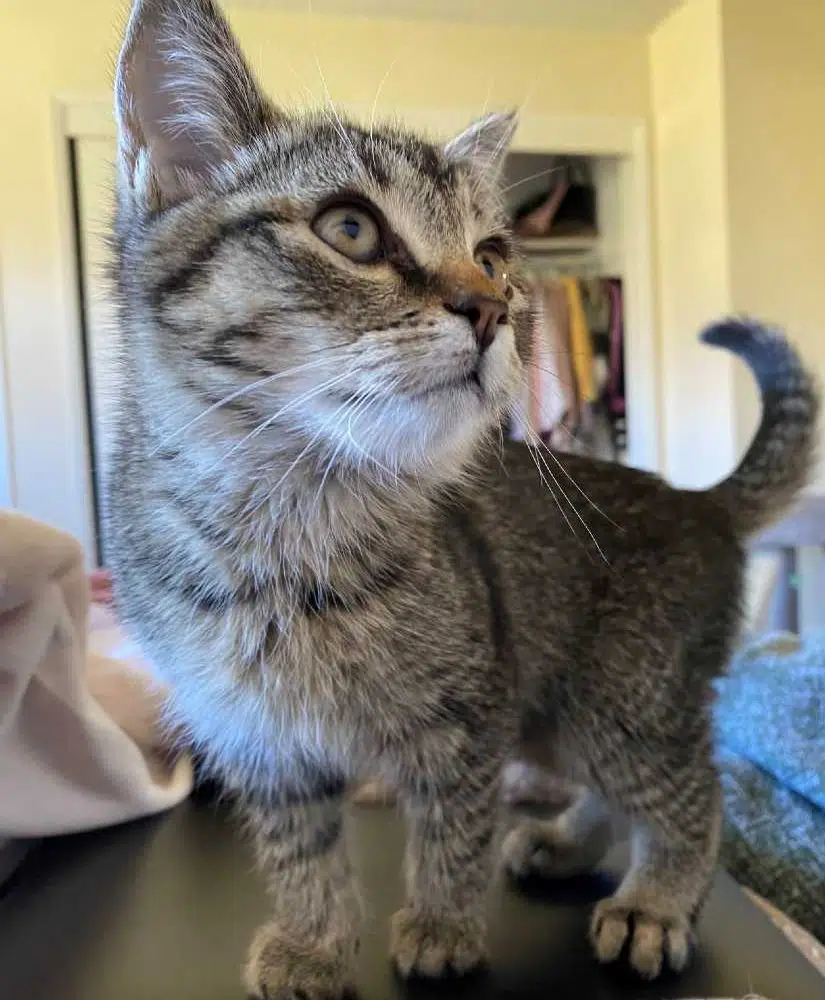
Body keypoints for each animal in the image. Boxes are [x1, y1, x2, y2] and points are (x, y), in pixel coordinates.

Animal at [107, 2, 819, 997]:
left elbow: (453, 829)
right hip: (557, 714)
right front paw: (314, 940)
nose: (493, 306)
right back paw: (566, 845)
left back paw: (654, 901)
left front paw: (442, 924)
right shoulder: (264, 743)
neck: (281, 529)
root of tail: (698, 501)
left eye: (491, 255)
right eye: (351, 229)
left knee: (690, 793)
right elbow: (301, 855)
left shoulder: (471, 716)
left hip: (618, 702)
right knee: (615, 795)